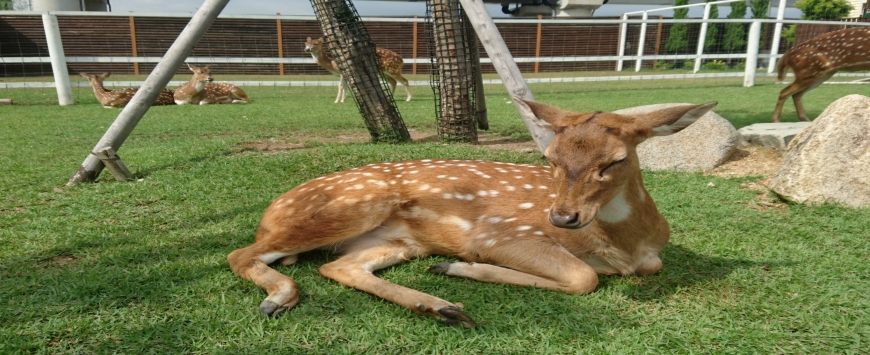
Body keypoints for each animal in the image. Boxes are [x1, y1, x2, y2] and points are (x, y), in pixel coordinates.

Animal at [228, 98, 720, 328]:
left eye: (615, 160)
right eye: (550, 157)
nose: (562, 218)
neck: (625, 243)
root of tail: (272, 210)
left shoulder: (652, 257)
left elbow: (637, 268)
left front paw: (453, 271)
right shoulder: (500, 233)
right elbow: (584, 277)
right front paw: (465, 266)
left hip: (399, 241)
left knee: (337, 266)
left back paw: (441, 306)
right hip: (360, 203)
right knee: (240, 253)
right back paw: (277, 298)